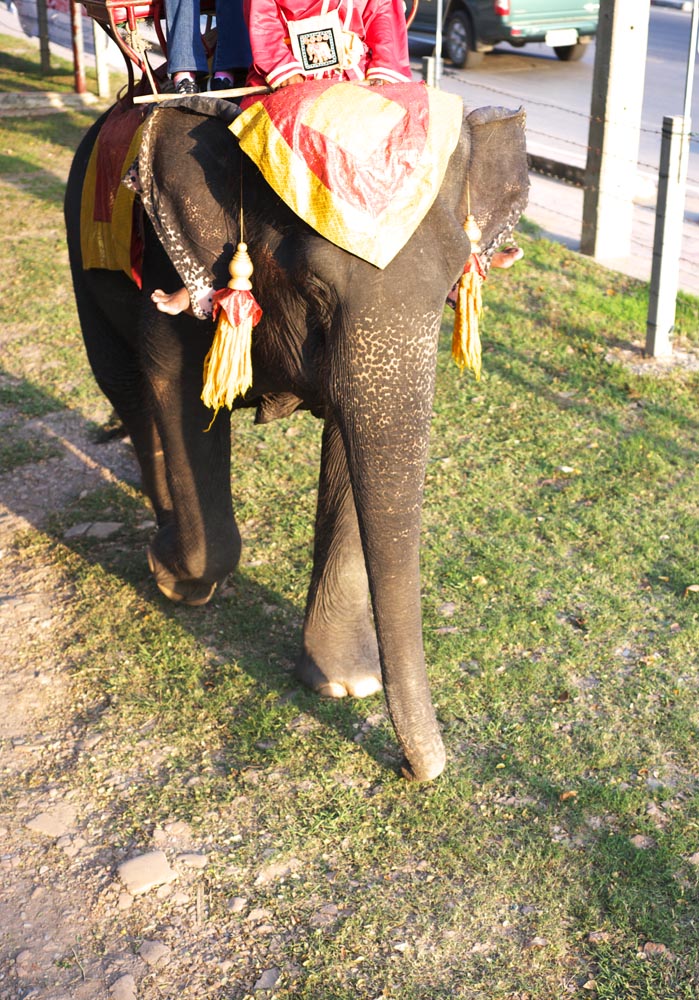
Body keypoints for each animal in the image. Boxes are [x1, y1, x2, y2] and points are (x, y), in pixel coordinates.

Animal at [65, 88, 528, 780]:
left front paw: (343, 684)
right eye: (316, 288)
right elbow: (177, 391)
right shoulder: (169, 269)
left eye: (454, 285)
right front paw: (175, 576)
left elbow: (348, 442)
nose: (414, 771)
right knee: (127, 390)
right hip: (83, 249)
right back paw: (166, 533)